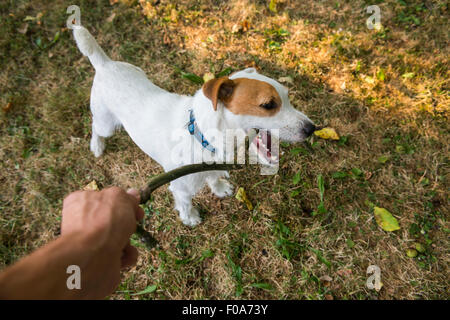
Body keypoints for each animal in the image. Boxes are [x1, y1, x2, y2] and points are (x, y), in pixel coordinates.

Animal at [72, 23, 314, 226]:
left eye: (288, 97)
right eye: (268, 104)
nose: (312, 129)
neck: (202, 136)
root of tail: (104, 63)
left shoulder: (212, 167)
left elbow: (214, 177)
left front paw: (219, 188)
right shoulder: (181, 188)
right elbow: (185, 204)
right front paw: (190, 218)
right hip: (106, 123)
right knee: (95, 127)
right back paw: (97, 145)